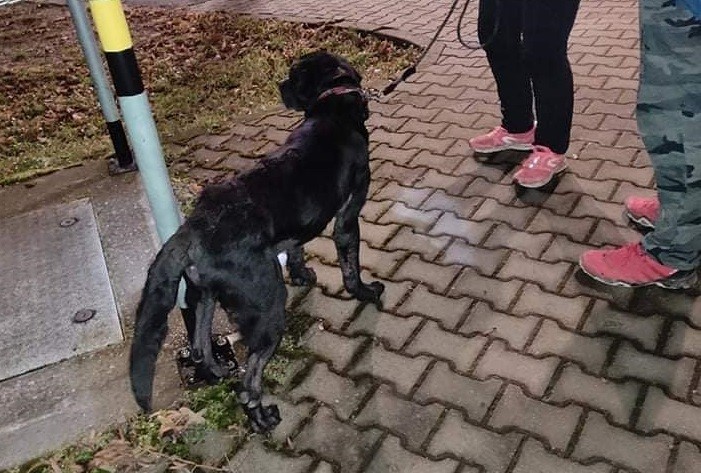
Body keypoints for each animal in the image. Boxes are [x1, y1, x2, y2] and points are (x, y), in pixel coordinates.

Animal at [129, 51, 385, 433]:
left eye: (294, 75)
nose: (280, 84)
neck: (332, 108)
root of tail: (194, 228)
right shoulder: (348, 218)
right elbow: (351, 268)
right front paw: (366, 292)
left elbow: (295, 247)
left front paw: (302, 274)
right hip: (268, 307)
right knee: (248, 384)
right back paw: (263, 418)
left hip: (205, 295)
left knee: (202, 348)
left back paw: (217, 372)